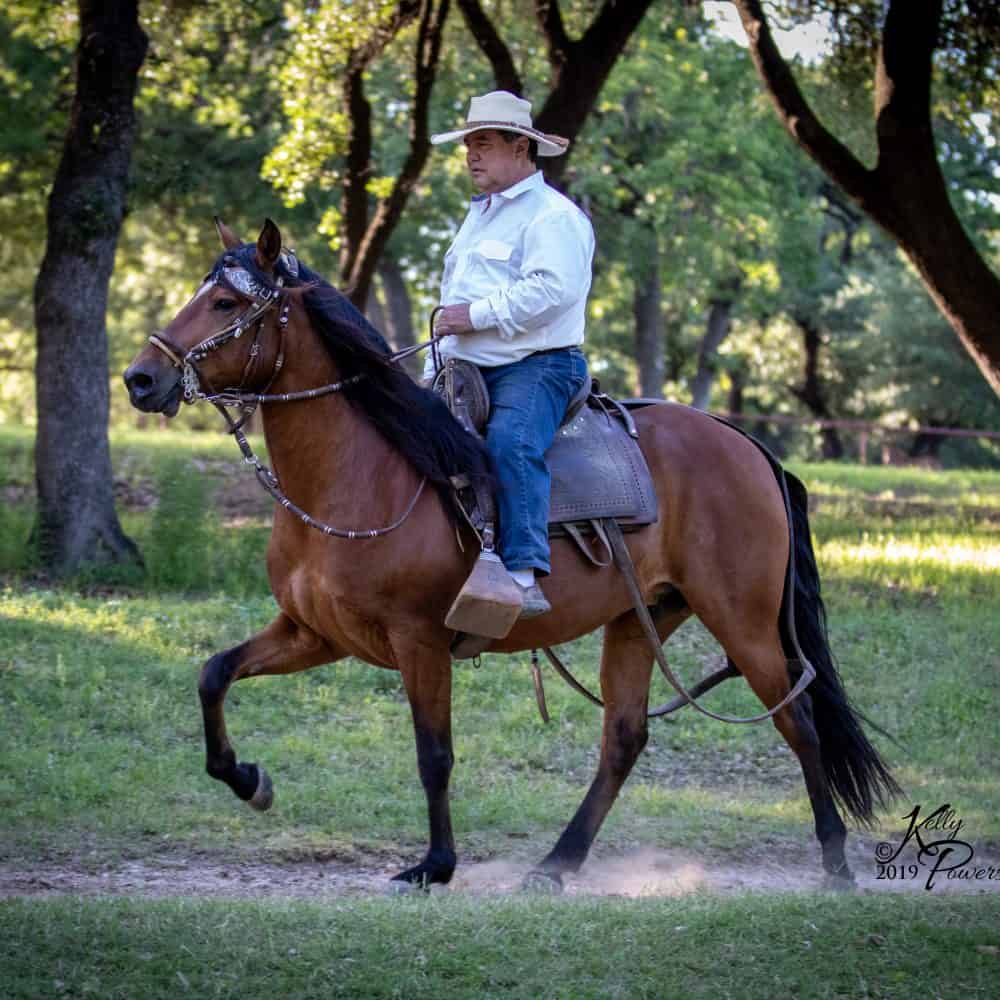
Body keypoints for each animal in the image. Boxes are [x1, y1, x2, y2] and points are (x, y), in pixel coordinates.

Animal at [124, 219, 899, 893]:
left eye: (226, 302)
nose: (140, 378)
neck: (364, 473)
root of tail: (746, 443)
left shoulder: (419, 642)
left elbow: (434, 754)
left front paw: (434, 866)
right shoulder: (315, 633)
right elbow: (214, 673)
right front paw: (247, 779)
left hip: (742, 618)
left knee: (798, 721)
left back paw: (835, 863)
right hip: (644, 616)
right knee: (625, 737)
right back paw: (556, 864)